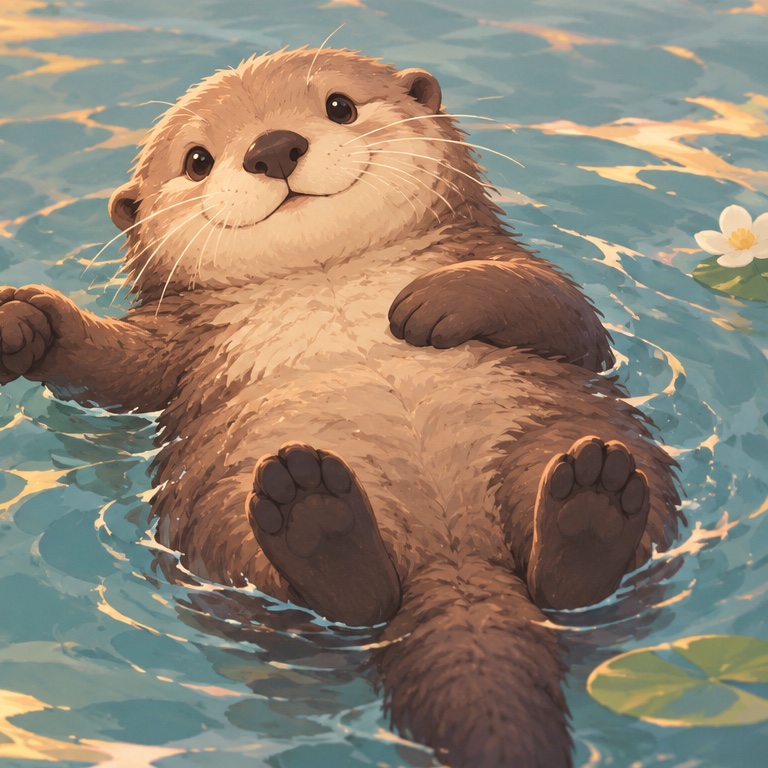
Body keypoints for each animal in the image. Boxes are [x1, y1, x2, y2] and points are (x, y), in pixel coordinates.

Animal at [0, 48, 681, 768]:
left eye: (339, 106)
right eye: (197, 160)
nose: (273, 148)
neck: (329, 277)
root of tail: (451, 563)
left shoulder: (518, 269)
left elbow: (563, 314)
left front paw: (430, 301)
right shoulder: (177, 343)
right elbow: (119, 365)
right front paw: (27, 324)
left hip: (553, 432)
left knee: (578, 564)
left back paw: (589, 506)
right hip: (220, 518)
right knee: (333, 601)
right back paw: (318, 520)